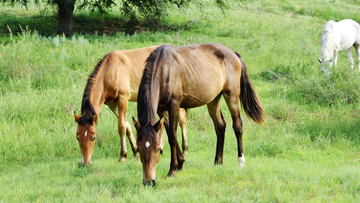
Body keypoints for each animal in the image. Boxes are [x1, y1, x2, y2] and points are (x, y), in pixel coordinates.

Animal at [132, 43, 264, 186]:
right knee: (220, 126)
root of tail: (234, 54)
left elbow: (173, 137)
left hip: (231, 95)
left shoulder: (174, 105)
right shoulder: (162, 110)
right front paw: (180, 164)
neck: (164, 69)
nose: (148, 181)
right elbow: (171, 135)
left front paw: (172, 170)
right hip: (213, 100)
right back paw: (218, 162)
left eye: (157, 149)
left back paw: (240, 161)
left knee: (237, 126)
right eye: (138, 149)